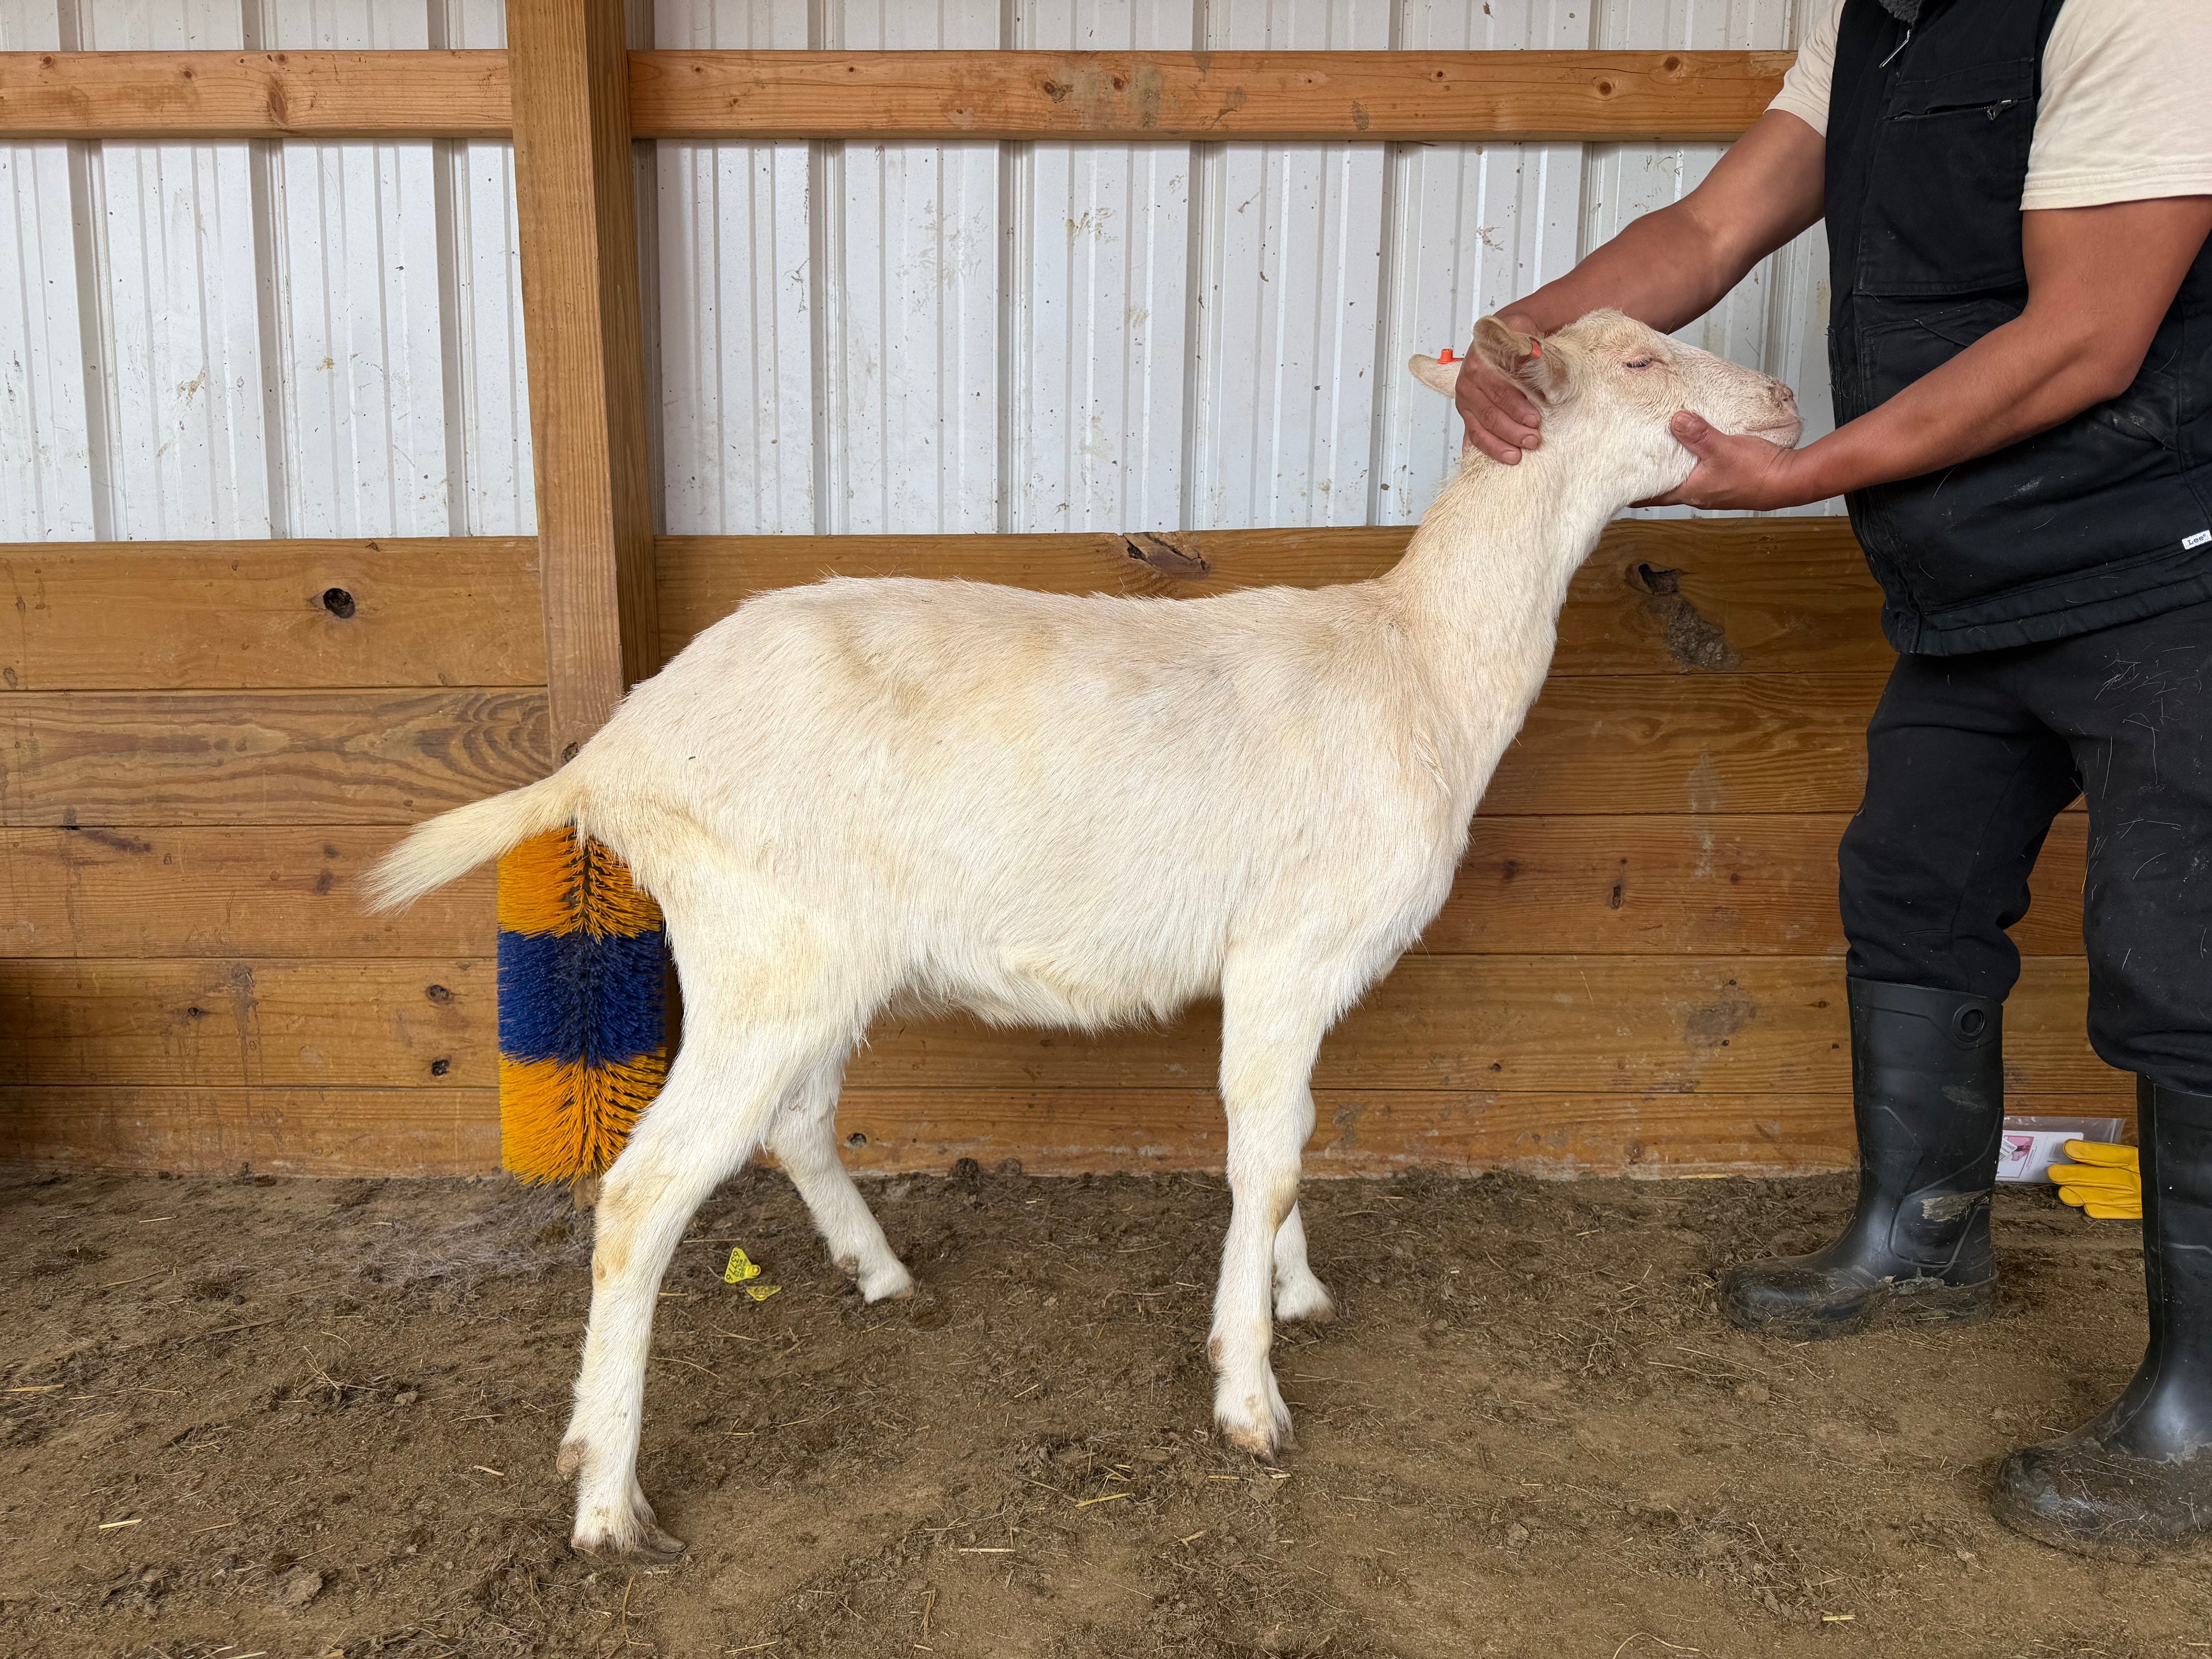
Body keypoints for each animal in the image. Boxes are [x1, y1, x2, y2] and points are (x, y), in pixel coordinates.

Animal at [370, 309, 1802, 1558]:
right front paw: (1249, 1400)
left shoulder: (1292, 972)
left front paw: (1293, 1295)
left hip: (815, 962)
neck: (1417, 663)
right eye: (1640, 357)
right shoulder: (1290, 946)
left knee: (796, 1121)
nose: (1788, 401)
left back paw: (877, 1280)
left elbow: (1289, 1143)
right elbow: (1266, 1159)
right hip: (763, 942)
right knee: (642, 1194)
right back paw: (609, 1504)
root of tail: (613, 754)